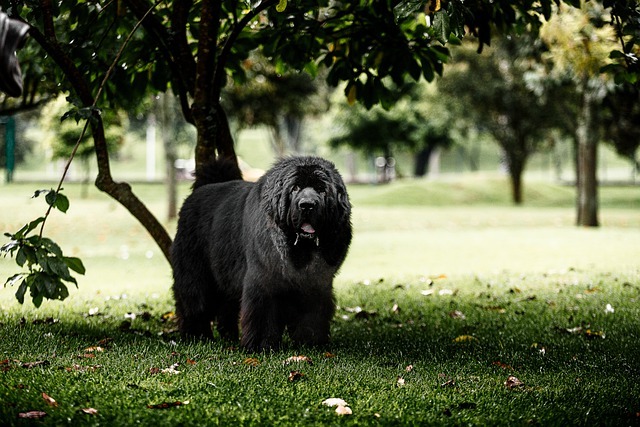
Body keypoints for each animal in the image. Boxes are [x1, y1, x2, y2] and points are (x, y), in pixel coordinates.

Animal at [171, 156, 350, 352]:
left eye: (321, 189)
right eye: (295, 188)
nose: (307, 205)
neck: (299, 251)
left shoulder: (316, 285)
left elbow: (311, 315)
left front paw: (310, 342)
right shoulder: (264, 281)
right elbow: (262, 315)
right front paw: (261, 346)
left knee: (227, 306)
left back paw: (228, 336)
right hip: (196, 274)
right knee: (194, 302)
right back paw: (196, 336)